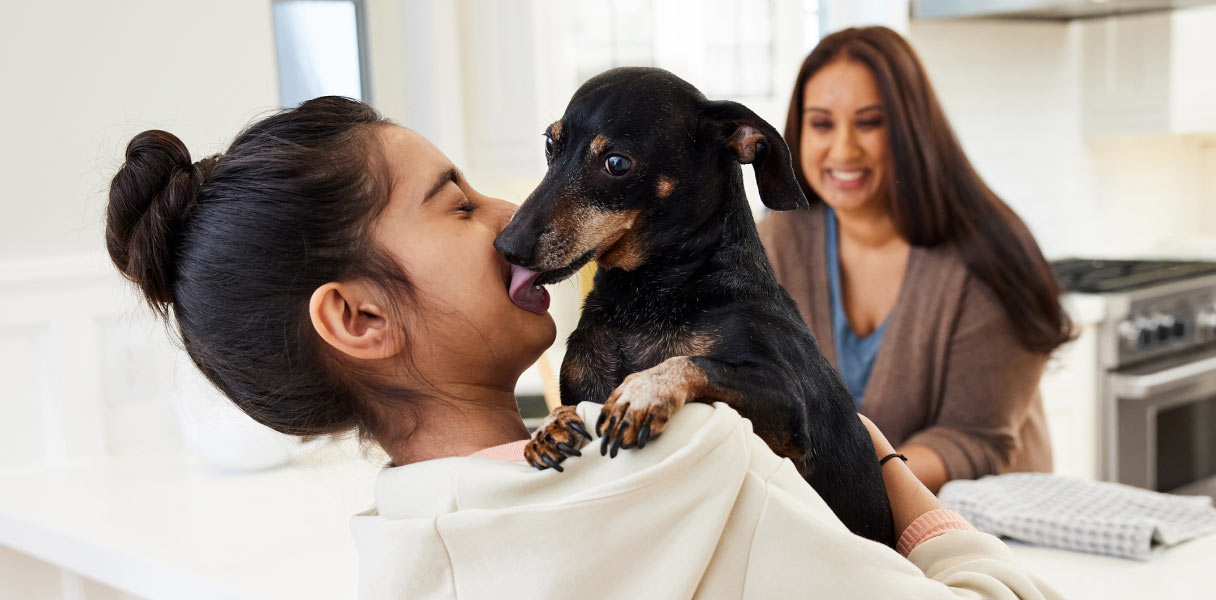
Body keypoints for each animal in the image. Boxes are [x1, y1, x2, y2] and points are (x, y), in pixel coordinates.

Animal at [491, 66, 894, 547]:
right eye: (551, 145)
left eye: (617, 163)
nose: (506, 247)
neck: (643, 301)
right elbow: (562, 408)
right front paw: (549, 427)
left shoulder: (789, 411)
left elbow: (695, 361)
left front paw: (642, 392)